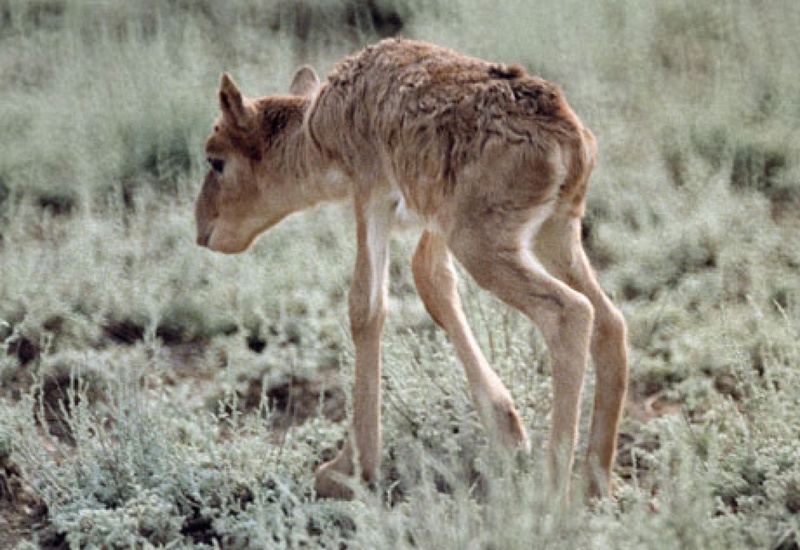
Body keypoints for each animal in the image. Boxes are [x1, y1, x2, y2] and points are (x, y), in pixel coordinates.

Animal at [195, 38, 632, 502]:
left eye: (216, 160)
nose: (202, 230)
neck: (319, 122)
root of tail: (571, 138)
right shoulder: (434, 219)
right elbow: (431, 282)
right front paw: (508, 431)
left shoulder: (371, 194)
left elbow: (365, 307)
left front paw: (350, 468)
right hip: (555, 234)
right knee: (609, 320)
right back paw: (596, 482)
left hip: (484, 247)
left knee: (570, 313)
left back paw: (549, 495)